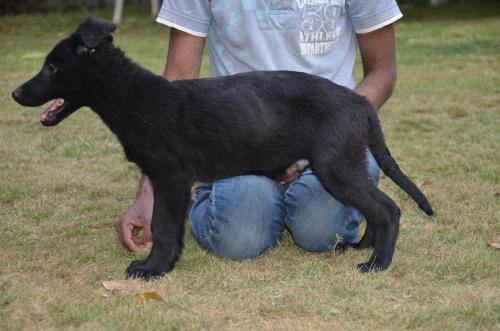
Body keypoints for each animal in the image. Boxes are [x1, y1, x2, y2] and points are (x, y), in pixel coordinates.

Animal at [12, 16, 434, 280]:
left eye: (52, 68)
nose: (15, 93)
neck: (134, 97)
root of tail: (359, 103)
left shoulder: (171, 178)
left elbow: (164, 227)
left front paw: (153, 269)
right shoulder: (165, 180)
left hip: (335, 168)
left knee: (388, 209)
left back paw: (377, 265)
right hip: (346, 165)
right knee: (375, 208)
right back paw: (363, 248)